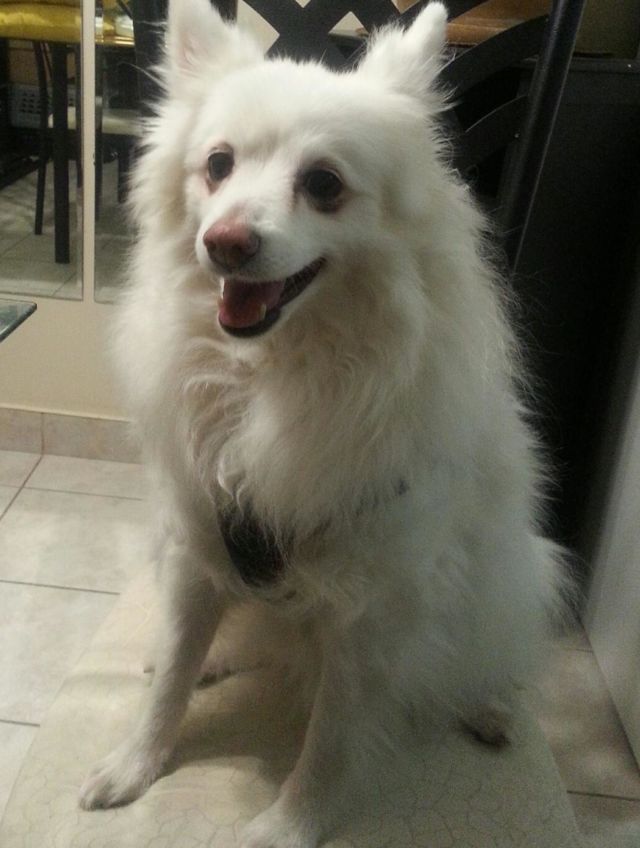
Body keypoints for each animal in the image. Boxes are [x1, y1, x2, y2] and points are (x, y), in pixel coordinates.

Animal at [79, 2, 566, 846]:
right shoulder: (195, 544)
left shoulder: (371, 609)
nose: (225, 242)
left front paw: (291, 824)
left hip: (513, 575)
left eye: (324, 185)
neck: (273, 375)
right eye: (217, 166)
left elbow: (332, 736)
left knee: (481, 650)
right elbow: (171, 677)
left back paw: (487, 705)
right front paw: (137, 764)